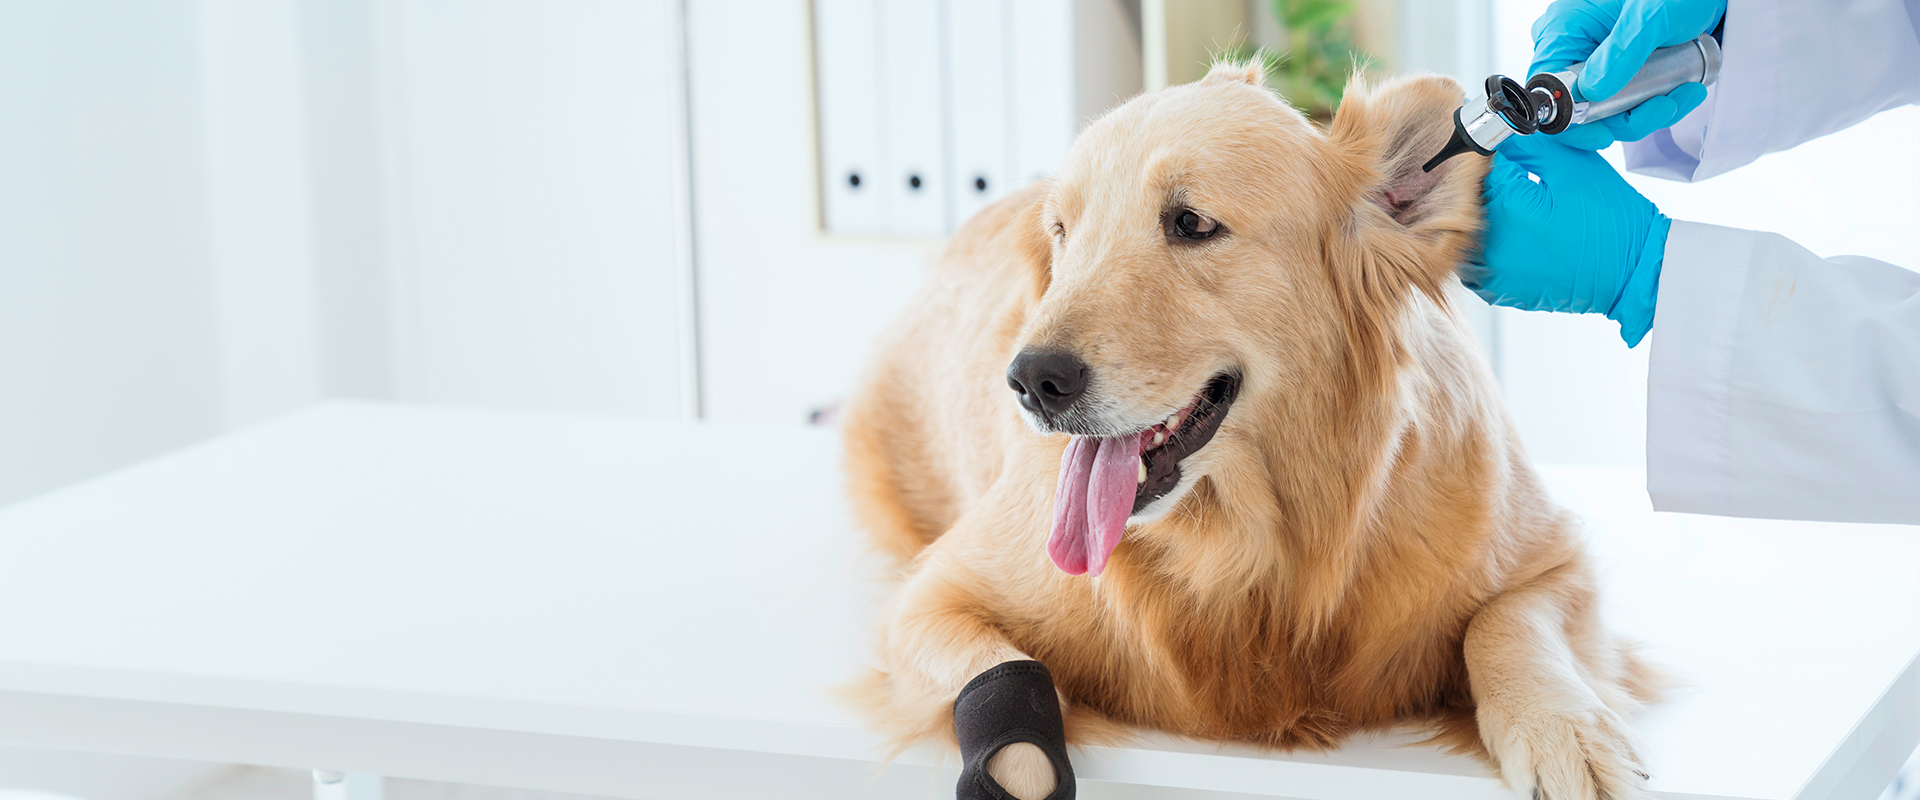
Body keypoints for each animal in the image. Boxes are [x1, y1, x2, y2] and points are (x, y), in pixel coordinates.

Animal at [844, 63, 1666, 798]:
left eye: (1192, 223)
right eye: (1063, 233)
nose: (1031, 381)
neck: (1256, 552)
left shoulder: (1553, 557)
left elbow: (1506, 624)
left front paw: (1565, 730)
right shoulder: (932, 600)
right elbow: (1014, 718)